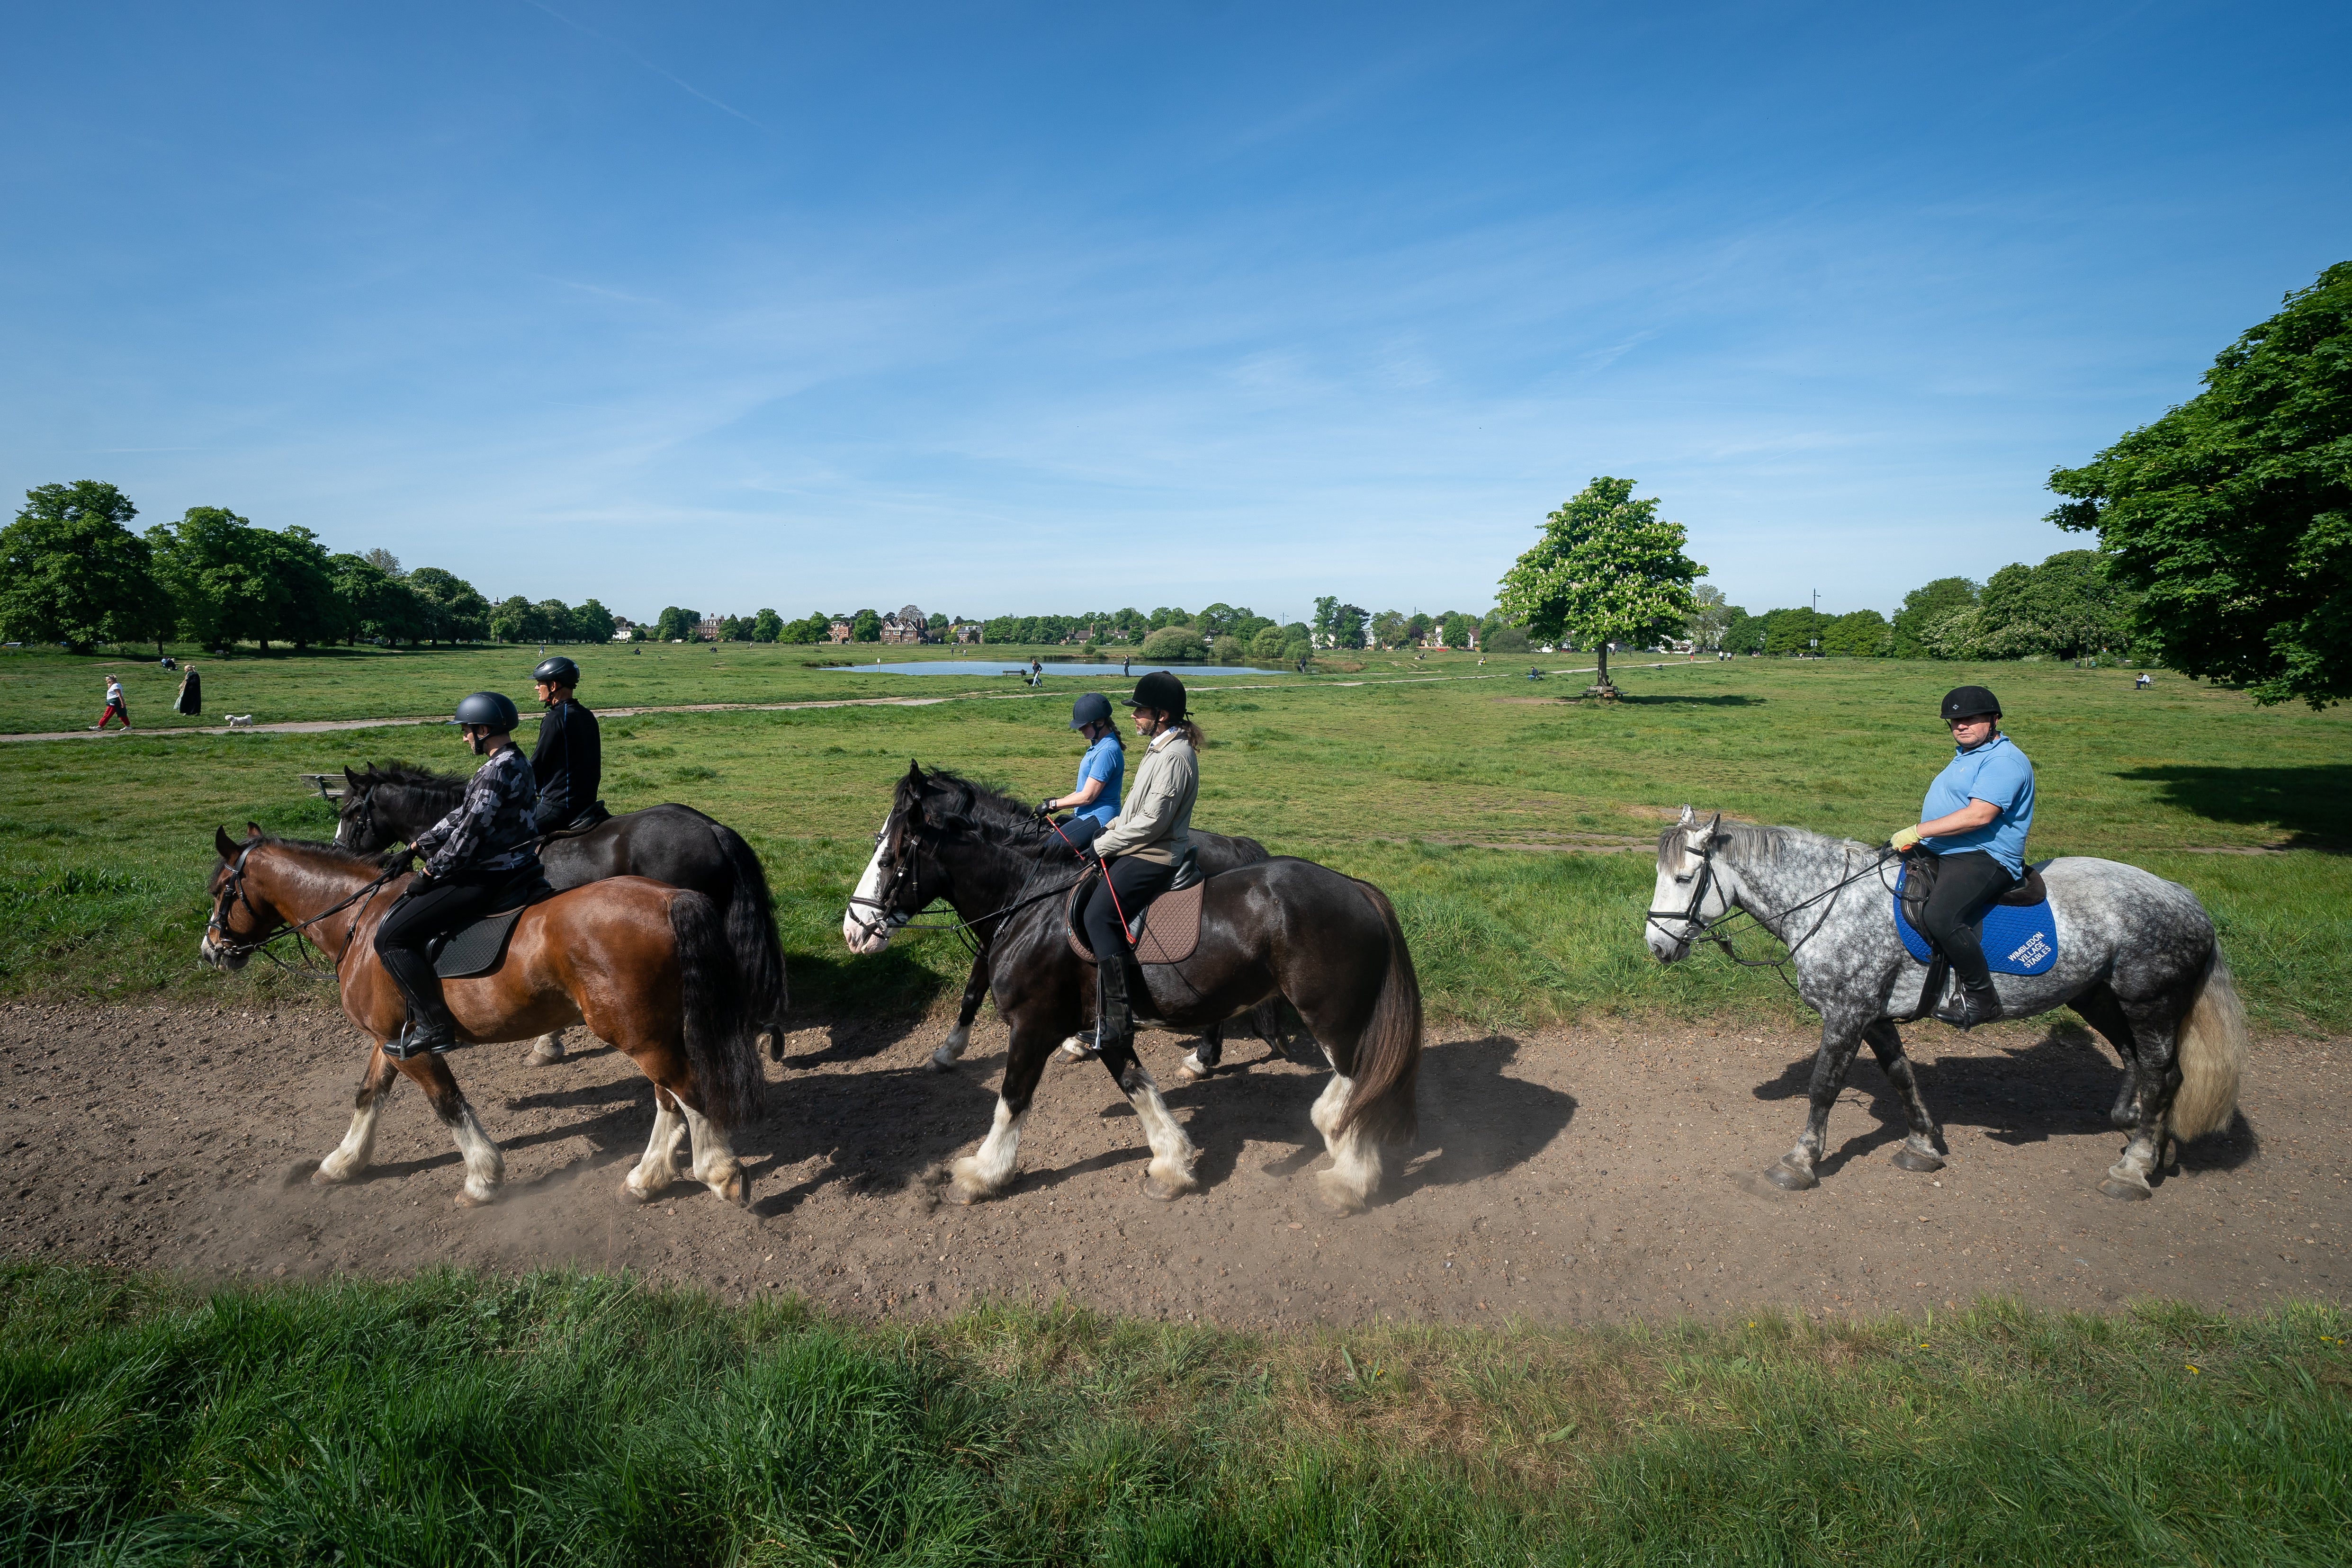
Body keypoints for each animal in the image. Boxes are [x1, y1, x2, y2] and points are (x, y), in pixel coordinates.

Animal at [198, 827, 762, 1213]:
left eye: (222, 889)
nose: (210, 951)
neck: (362, 922)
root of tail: (668, 897)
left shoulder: (417, 1047)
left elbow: (448, 1104)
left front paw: (482, 1179)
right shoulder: (389, 1038)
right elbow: (368, 1095)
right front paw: (342, 1162)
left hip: (640, 1035)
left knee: (687, 1091)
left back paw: (718, 1170)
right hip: (650, 1031)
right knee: (669, 1098)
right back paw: (647, 1178)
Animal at [851, 766, 1420, 1213]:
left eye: (888, 859)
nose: (853, 929)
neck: (1034, 900)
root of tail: (1359, 889)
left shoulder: (1033, 1024)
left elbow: (1011, 1099)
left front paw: (982, 1172)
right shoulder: (1109, 1024)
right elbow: (1137, 1086)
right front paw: (1172, 1164)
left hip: (1332, 1016)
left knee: (1357, 1085)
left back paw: (1348, 1175)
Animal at [1646, 808, 2248, 1203]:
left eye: (1683, 877)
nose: (1656, 946)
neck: (1831, 901)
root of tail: (2182, 895)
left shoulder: (1846, 1013)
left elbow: (1823, 1087)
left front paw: (1799, 1161)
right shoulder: (1874, 1015)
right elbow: (1900, 1076)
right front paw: (1921, 1144)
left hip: (2149, 1000)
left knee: (2164, 1073)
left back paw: (2134, 1167)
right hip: (2098, 995)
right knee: (2136, 1062)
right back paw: (2145, 1137)